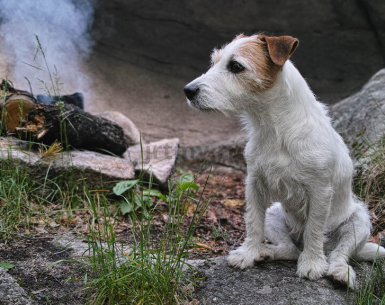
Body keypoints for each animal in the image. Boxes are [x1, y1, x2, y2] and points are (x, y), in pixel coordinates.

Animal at [184, 33, 384, 288]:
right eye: (214, 62)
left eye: (236, 66)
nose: (188, 90)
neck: (274, 129)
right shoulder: (254, 185)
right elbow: (253, 223)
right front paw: (248, 253)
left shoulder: (320, 191)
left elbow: (314, 229)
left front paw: (312, 264)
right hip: (274, 215)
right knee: (290, 249)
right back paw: (265, 253)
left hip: (359, 222)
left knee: (339, 252)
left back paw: (339, 271)